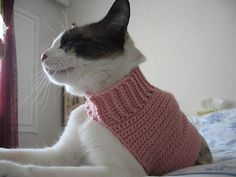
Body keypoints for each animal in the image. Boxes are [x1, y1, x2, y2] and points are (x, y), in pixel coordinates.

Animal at [0, 0, 212, 177]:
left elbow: (38, 170)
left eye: (71, 43)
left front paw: (7, 168)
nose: (42, 55)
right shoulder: (60, 154)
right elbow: (20, 154)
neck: (99, 100)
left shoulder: (119, 171)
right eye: (53, 44)